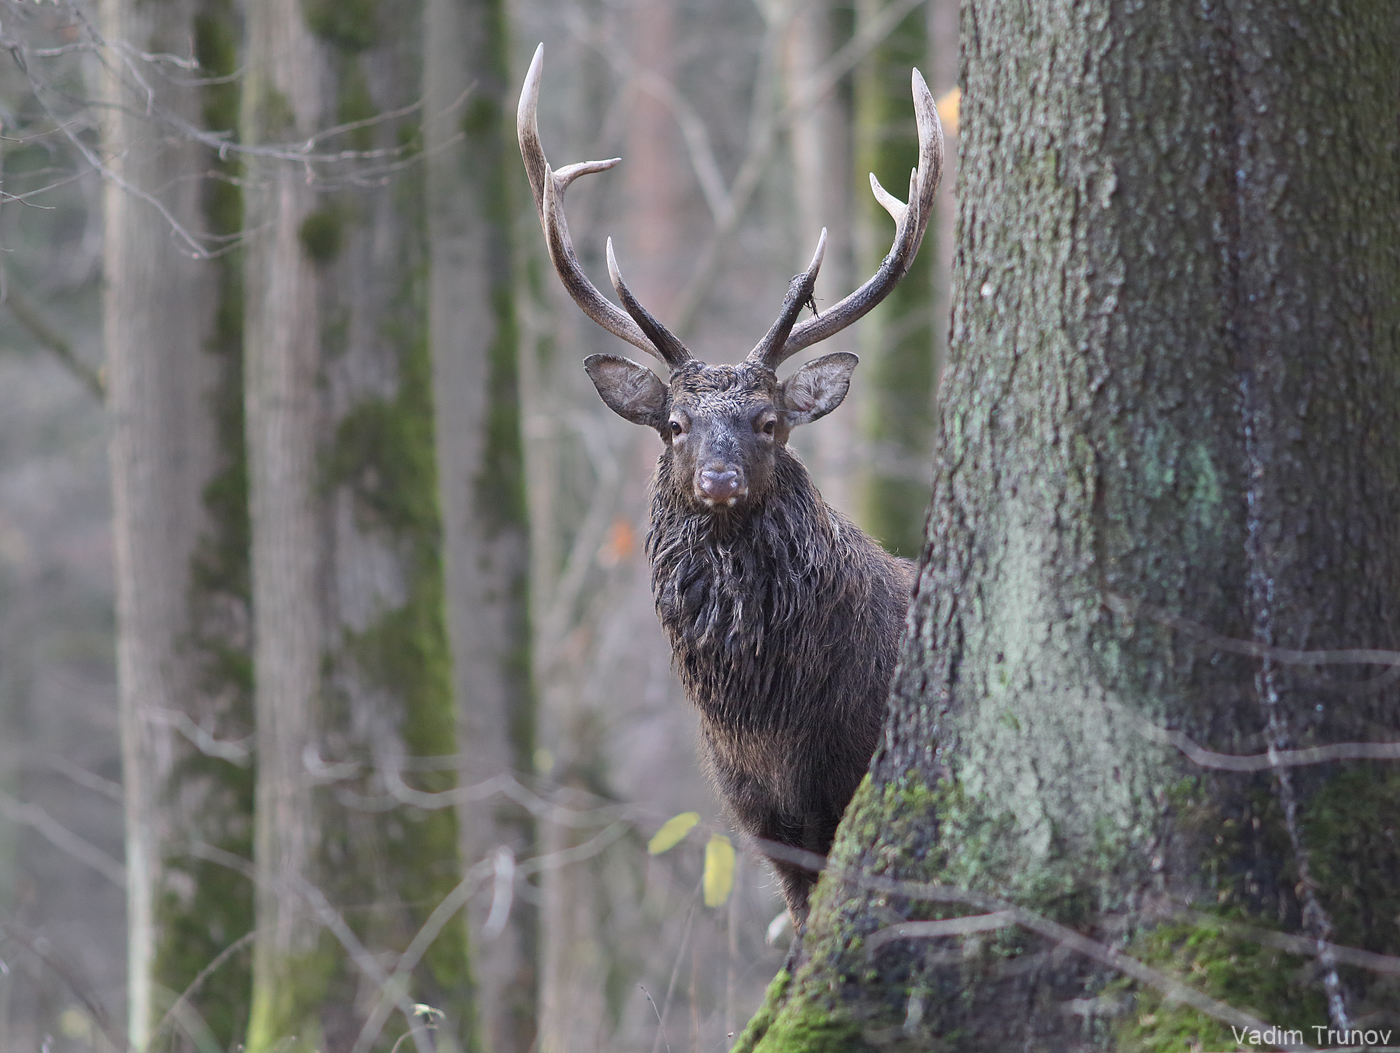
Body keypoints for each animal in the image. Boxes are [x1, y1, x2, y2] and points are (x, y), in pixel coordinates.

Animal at [520, 43, 946, 929]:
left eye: (769, 420)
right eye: (675, 423)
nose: (718, 479)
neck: (772, 730)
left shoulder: (849, 782)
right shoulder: (760, 815)